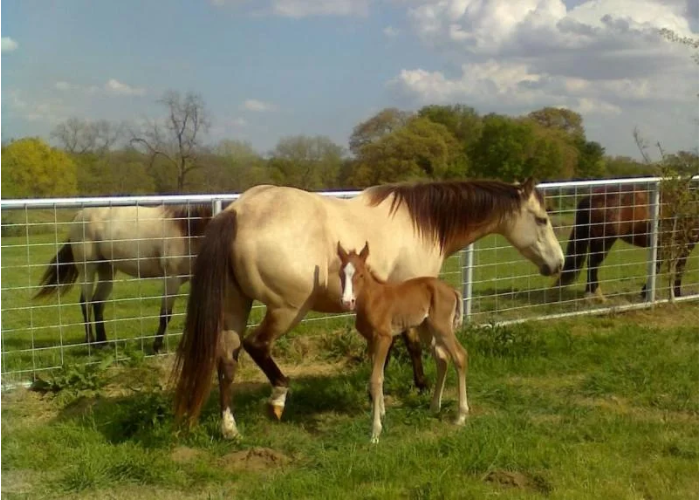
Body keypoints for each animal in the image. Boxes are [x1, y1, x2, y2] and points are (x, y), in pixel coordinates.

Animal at [35, 204, 213, 353]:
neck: (187, 230)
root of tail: (80, 215)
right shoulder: (172, 279)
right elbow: (165, 315)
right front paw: (157, 347)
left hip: (107, 269)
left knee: (97, 302)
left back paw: (103, 344)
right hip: (87, 269)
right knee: (85, 303)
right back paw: (90, 342)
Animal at [337, 241, 467, 443]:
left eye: (360, 274)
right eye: (341, 274)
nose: (346, 302)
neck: (373, 299)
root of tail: (452, 290)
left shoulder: (384, 338)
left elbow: (375, 379)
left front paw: (375, 432)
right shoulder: (371, 341)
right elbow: (379, 375)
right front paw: (382, 413)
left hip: (443, 328)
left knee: (459, 356)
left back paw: (460, 415)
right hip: (426, 330)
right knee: (442, 360)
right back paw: (434, 407)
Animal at [554, 184, 698, 299]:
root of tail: (590, 198)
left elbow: (665, 266)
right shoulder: (686, 244)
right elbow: (676, 267)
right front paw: (674, 294)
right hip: (603, 242)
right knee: (593, 264)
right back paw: (596, 295)